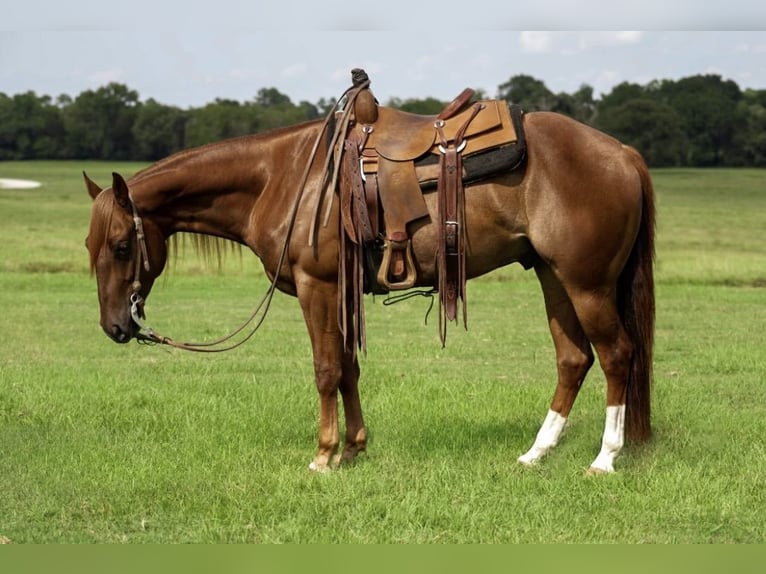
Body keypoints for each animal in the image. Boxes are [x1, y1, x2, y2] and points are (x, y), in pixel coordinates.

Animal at [85, 110, 660, 474]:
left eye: (121, 245)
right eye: (91, 246)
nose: (115, 327)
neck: (284, 178)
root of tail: (624, 152)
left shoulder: (317, 288)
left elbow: (325, 370)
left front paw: (323, 456)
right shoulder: (340, 294)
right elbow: (349, 369)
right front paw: (354, 450)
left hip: (587, 284)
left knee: (616, 354)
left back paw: (605, 458)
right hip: (552, 277)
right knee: (573, 359)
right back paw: (536, 454)